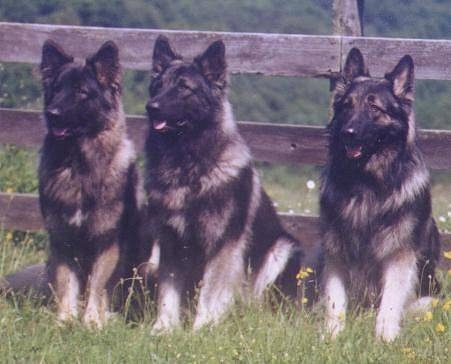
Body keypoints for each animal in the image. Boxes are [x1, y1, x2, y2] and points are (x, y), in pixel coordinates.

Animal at [145, 37, 304, 332]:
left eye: (183, 87)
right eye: (158, 85)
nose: (151, 107)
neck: (187, 166)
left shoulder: (222, 245)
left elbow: (210, 292)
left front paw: (200, 329)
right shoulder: (171, 243)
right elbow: (168, 292)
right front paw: (163, 328)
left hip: (282, 250)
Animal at [322, 47, 442, 342]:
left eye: (374, 108)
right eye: (347, 105)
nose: (347, 133)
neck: (366, 184)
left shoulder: (400, 255)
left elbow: (390, 301)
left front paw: (384, 339)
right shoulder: (336, 253)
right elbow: (335, 301)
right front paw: (331, 337)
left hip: (428, 300)